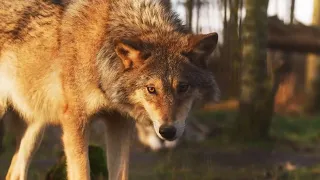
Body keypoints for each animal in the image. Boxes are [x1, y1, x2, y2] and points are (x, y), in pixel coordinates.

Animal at [0, 0, 219, 179]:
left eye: (183, 87)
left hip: (35, 128)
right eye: (151, 89)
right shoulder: (75, 122)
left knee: (14, 174)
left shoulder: (119, 122)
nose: (168, 131)